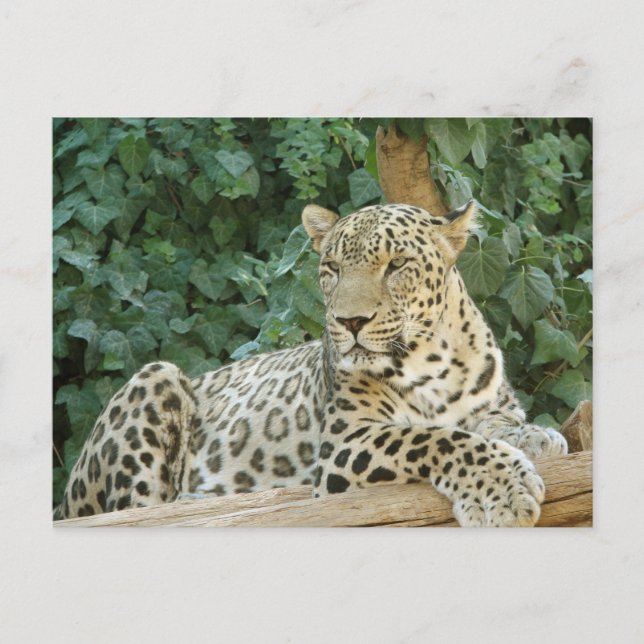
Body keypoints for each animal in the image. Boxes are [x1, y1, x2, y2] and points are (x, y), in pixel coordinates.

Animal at [54, 200, 567, 526]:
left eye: (397, 265)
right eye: (332, 269)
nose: (351, 321)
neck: (432, 360)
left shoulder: (489, 407)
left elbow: (493, 425)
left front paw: (538, 437)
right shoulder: (345, 441)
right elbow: (434, 439)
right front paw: (503, 489)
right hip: (154, 377)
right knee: (137, 511)